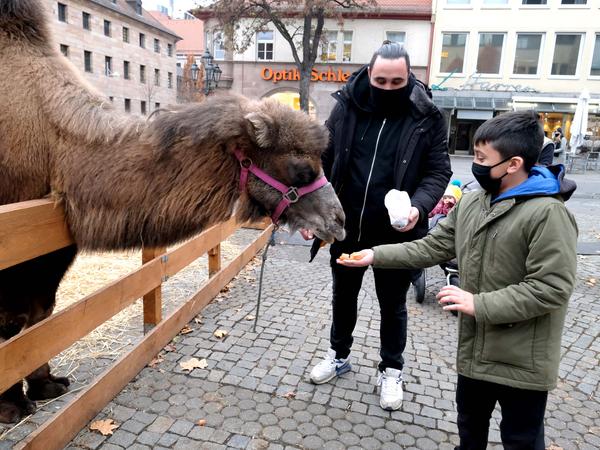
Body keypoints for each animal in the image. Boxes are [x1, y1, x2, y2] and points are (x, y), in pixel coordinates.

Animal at [0, 0, 346, 424]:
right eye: (302, 169)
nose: (339, 220)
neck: (58, 142)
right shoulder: (15, 238)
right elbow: (12, 323)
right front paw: (13, 406)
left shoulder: (53, 242)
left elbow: (39, 314)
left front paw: (47, 385)